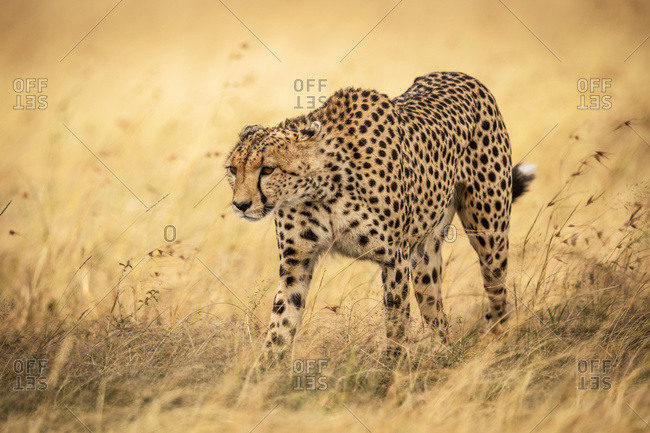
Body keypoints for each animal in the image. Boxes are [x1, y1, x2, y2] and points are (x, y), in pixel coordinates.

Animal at [224, 71, 536, 359]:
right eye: (233, 169)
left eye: (268, 169)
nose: (241, 204)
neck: (322, 187)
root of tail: (459, 74)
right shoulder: (296, 261)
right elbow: (281, 321)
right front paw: (266, 371)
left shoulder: (394, 258)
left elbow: (396, 321)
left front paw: (392, 370)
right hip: (425, 260)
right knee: (437, 315)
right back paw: (443, 354)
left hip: (489, 234)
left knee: (497, 293)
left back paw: (496, 345)